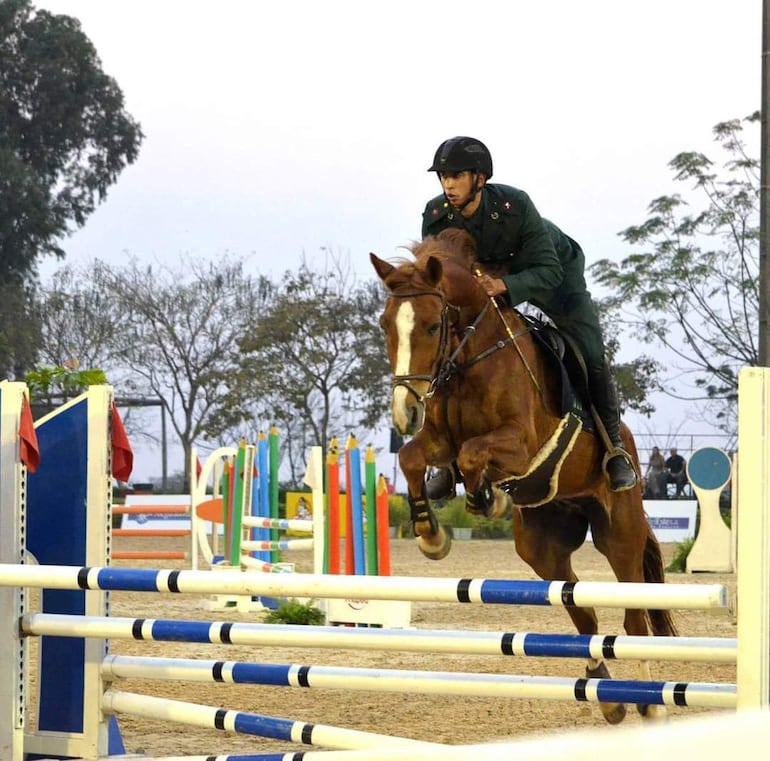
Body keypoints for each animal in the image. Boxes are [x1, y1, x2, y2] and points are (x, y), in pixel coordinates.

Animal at [368, 227, 676, 724]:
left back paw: (648, 702)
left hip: (620, 535)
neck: (471, 356)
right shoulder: (438, 440)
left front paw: (486, 498)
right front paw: (431, 534)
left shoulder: (520, 443)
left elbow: (473, 454)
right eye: (385, 325)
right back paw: (608, 695)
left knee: (633, 617)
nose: (405, 411)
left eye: (433, 326)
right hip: (542, 546)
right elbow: (416, 458)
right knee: (582, 612)